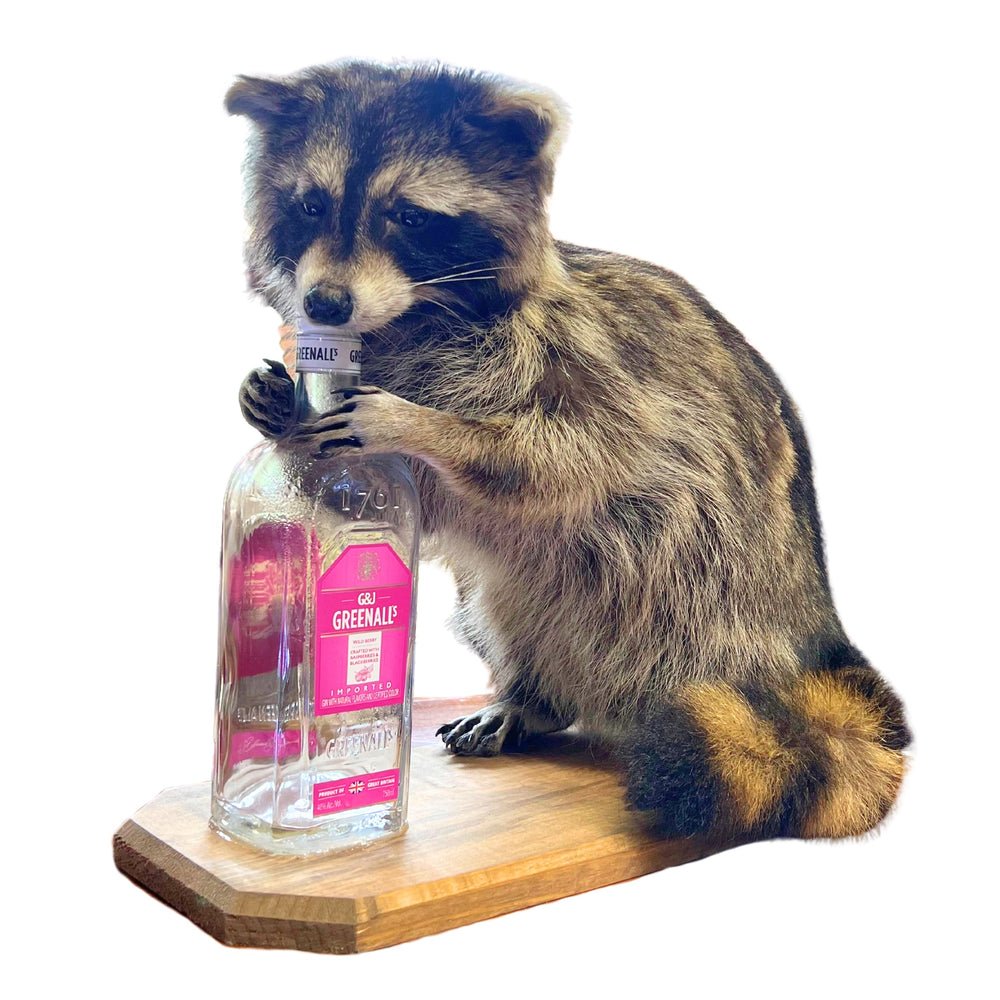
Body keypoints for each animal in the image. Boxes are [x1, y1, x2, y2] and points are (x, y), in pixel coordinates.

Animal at [226, 61, 911, 842]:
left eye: (409, 216)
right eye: (311, 205)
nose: (326, 304)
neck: (414, 316)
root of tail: (818, 643)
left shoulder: (591, 361)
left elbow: (563, 459)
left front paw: (428, 425)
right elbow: (414, 500)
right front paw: (274, 402)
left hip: (721, 610)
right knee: (505, 593)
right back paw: (534, 694)